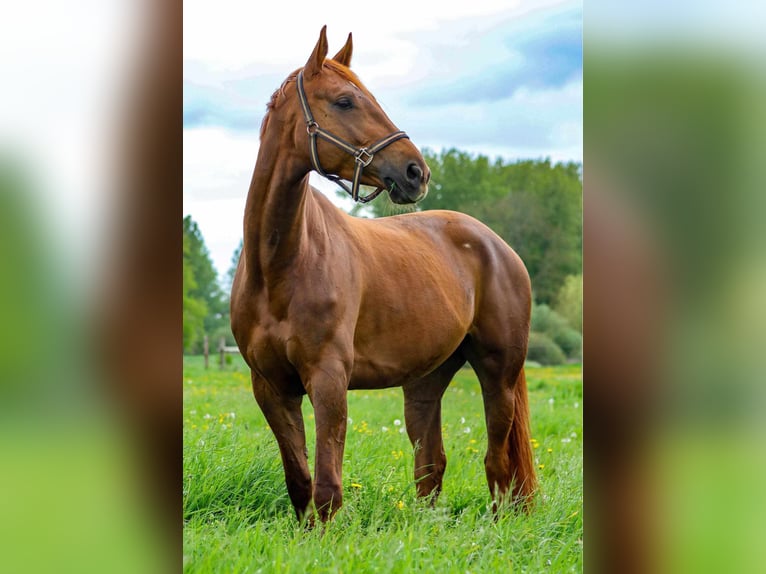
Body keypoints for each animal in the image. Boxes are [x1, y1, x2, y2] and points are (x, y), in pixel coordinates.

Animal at [231, 24, 536, 524]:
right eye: (344, 101)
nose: (416, 172)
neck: (279, 267)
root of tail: (498, 246)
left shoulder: (329, 380)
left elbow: (328, 487)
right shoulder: (271, 388)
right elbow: (300, 482)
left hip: (499, 374)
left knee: (498, 463)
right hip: (425, 381)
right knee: (431, 465)